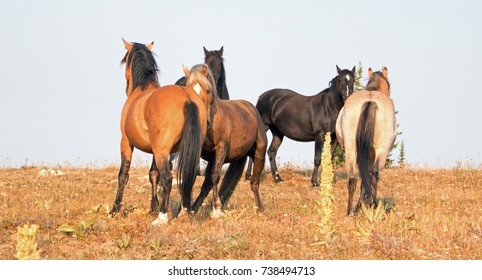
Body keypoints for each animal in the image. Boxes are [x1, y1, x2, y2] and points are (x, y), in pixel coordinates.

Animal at [110, 38, 210, 225]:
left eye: (125, 60)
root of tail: (187, 97)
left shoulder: (126, 142)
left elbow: (123, 175)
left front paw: (115, 209)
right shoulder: (154, 150)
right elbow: (153, 174)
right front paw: (153, 208)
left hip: (162, 151)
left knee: (168, 178)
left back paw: (162, 217)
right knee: (188, 176)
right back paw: (185, 212)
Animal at [185, 63, 268, 217]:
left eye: (207, 90)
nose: (202, 120)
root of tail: (251, 108)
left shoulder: (221, 149)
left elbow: (215, 176)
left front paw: (217, 208)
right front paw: (187, 209)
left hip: (259, 154)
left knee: (254, 182)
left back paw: (260, 207)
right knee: (207, 184)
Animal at [336, 66, 396, 215]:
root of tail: (370, 101)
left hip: (353, 150)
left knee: (355, 178)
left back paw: (352, 210)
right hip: (378, 151)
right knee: (372, 176)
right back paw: (366, 206)